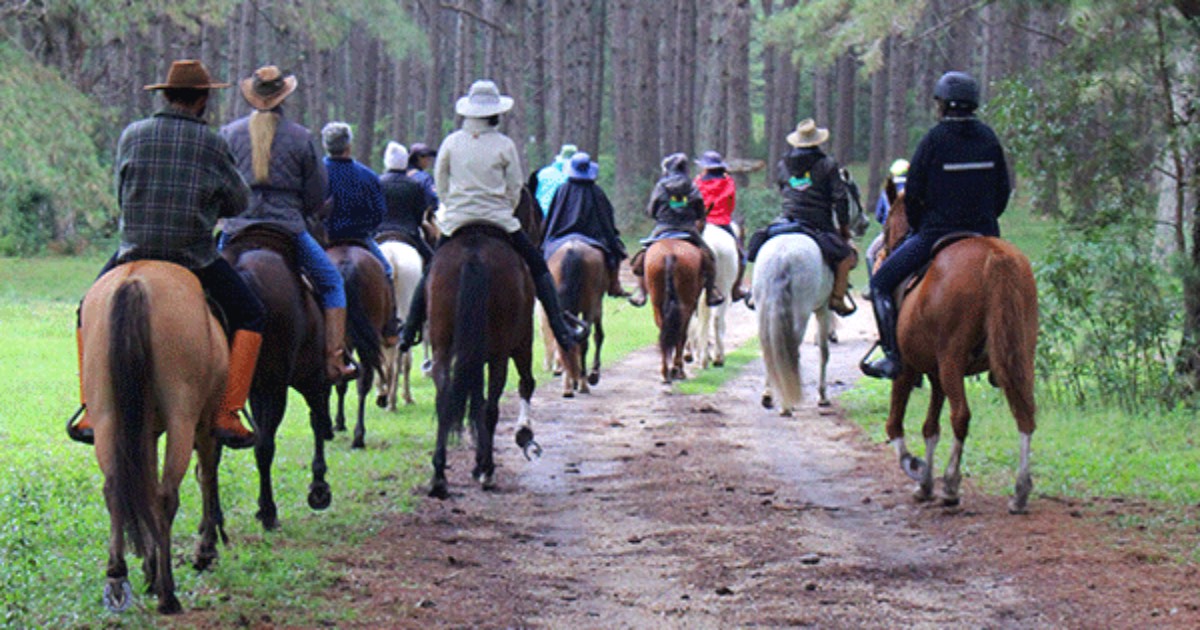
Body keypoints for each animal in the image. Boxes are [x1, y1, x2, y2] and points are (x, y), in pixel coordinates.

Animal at [83, 259, 228, 609]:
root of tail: (135, 281)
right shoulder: (205, 424)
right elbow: (207, 476)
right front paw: (205, 550)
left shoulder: (145, 431)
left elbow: (142, 487)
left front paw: (148, 568)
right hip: (182, 417)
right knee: (166, 495)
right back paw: (168, 593)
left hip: (108, 415)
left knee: (116, 488)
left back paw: (118, 575)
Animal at [549, 235, 614, 393]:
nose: (573, 375)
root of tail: (573, 251)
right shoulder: (594, 307)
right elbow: (594, 337)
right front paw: (587, 378)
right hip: (592, 305)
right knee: (590, 338)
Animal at [648, 237, 700, 381]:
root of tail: (670, 255)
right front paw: (678, 368)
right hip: (686, 307)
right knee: (680, 334)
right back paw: (678, 369)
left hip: (657, 306)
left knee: (664, 334)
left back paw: (665, 371)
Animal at [873, 184, 1041, 513]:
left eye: (886, 228)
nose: (882, 254)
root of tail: (994, 254)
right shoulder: (935, 374)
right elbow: (930, 428)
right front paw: (924, 483)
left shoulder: (907, 368)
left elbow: (895, 423)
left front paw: (915, 466)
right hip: (1020, 355)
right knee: (1025, 413)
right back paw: (1019, 492)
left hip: (951, 359)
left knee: (961, 416)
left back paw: (951, 486)